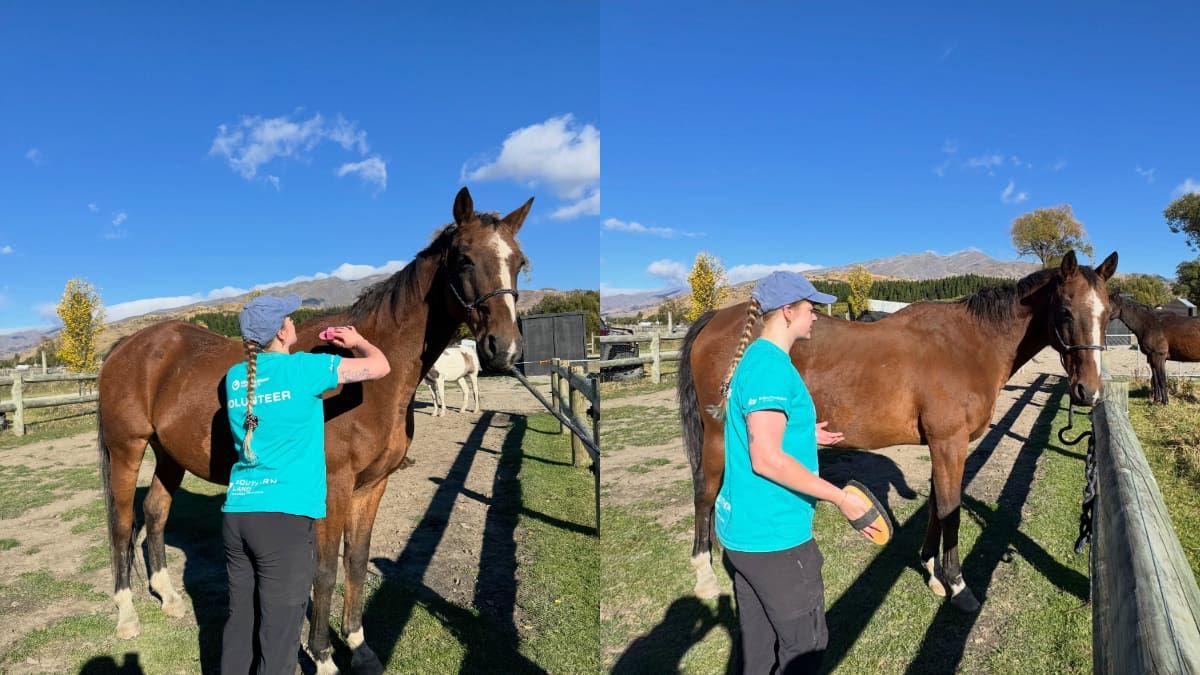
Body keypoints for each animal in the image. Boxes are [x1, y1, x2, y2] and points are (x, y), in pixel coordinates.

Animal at [97, 187, 531, 674]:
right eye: (464, 259)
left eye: (519, 262)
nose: (504, 349)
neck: (369, 380)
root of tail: (127, 346)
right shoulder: (334, 487)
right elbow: (324, 572)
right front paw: (323, 657)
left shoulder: (371, 486)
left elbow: (356, 563)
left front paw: (359, 647)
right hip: (127, 450)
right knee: (123, 526)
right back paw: (127, 616)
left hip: (170, 453)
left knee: (155, 512)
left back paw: (170, 598)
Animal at [678, 251, 1117, 612]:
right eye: (1065, 311)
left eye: (1108, 314)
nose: (1089, 391)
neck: (969, 345)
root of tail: (717, 319)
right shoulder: (949, 444)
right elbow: (950, 511)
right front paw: (958, 586)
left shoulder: (942, 447)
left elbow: (938, 508)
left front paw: (932, 573)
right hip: (716, 437)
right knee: (705, 494)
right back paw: (706, 575)